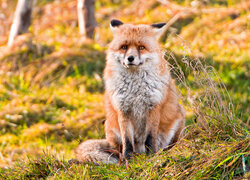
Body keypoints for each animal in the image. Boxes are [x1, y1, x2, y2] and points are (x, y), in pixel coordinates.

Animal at [76, 19, 186, 165]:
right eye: (124, 47)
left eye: (141, 47)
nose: (130, 58)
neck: (135, 90)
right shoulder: (123, 109)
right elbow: (127, 140)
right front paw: (128, 158)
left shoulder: (153, 106)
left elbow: (150, 138)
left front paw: (152, 155)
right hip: (110, 127)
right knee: (117, 149)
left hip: (178, 119)